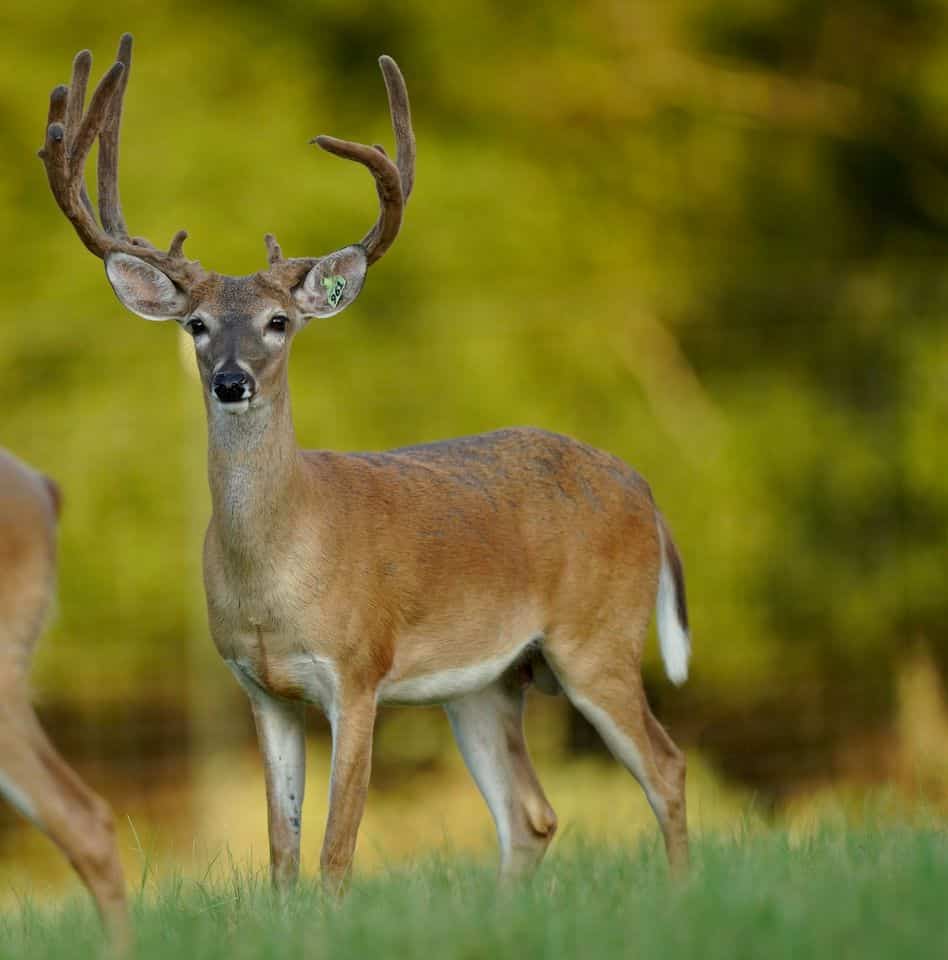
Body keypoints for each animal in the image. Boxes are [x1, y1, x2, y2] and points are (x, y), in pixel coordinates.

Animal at [39, 34, 692, 893]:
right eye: (196, 325)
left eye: (279, 321)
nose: (231, 380)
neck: (277, 568)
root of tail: (644, 488)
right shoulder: (259, 686)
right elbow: (281, 852)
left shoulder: (358, 671)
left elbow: (336, 849)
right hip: (485, 683)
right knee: (531, 814)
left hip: (597, 636)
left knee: (666, 766)